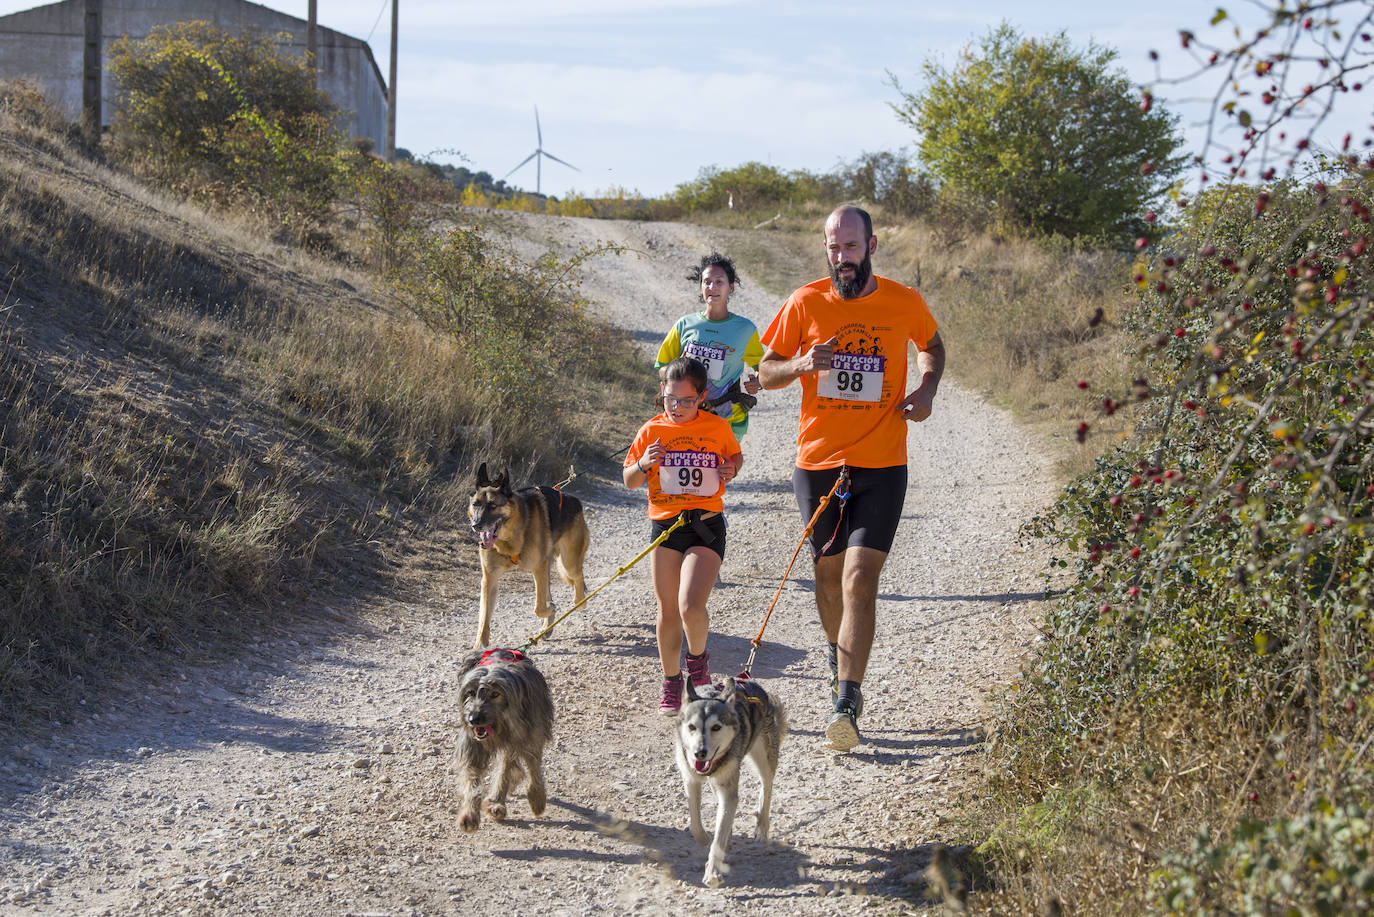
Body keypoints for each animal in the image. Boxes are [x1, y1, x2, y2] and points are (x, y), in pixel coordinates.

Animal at [453, 648, 555, 835]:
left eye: (495, 694)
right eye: (470, 693)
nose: (473, 719)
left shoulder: (529, 735)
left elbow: (530, 766)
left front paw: (537, 798)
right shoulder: (473, 745)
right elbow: (472, 778)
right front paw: (470, 815)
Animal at [469, 461, 588, 648]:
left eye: (493, 505)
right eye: (476, 504)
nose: (476, 525)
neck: (510, 537)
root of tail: (575, 501)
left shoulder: (538, 568)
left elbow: (538, 608)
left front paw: (550, 609)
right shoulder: (489, 579)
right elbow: (483, 620)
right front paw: (479, 647)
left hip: (568, 563)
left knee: (578, 579)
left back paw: (578, 603)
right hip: (549, 568)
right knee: (552, 592)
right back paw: (548, 624)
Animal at [673, 679, 785, 885]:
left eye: (716, 727)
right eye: (691, 727)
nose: (699, 753)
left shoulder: (728, 792)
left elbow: (718, 840)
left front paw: (713, 872)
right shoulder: (691, 780)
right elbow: (695, 824)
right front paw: (705, 839)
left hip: (764, 760)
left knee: (766, 788)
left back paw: (761, 828)